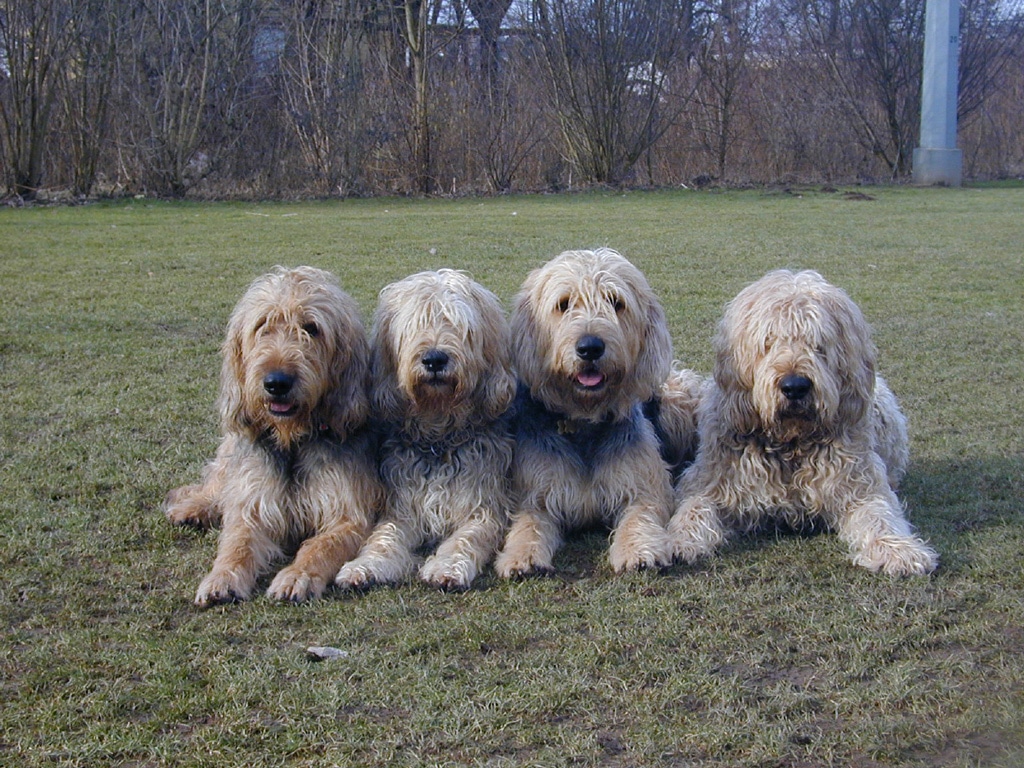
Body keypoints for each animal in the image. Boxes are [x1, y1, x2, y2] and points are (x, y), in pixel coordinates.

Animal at [331, 274, 516, 593]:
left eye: (458, 324)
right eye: (415, 324)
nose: (434, 359)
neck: (439, 438)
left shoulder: (483, 509)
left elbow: (465, 538)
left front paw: (447, 567)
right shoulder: (403, 509)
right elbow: (384, 538)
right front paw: (363, 566)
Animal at [491, 247, 675, 577]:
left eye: (616, 302)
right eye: (563, 304)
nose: (590, 347)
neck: (584, 421)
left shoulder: (644, 487)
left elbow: (640, 514)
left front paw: (639, 549)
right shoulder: (535, 493)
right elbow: (527, 524)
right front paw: (521, 556)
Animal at [667, 270, 937, 577]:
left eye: (818, 344)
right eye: (769, 341)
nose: (794, 387)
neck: (791, 444)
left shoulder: (859, 486)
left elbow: (879, 514)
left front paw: (899, 550)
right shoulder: (711, 481)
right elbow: (693, 506)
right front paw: (678, 539)